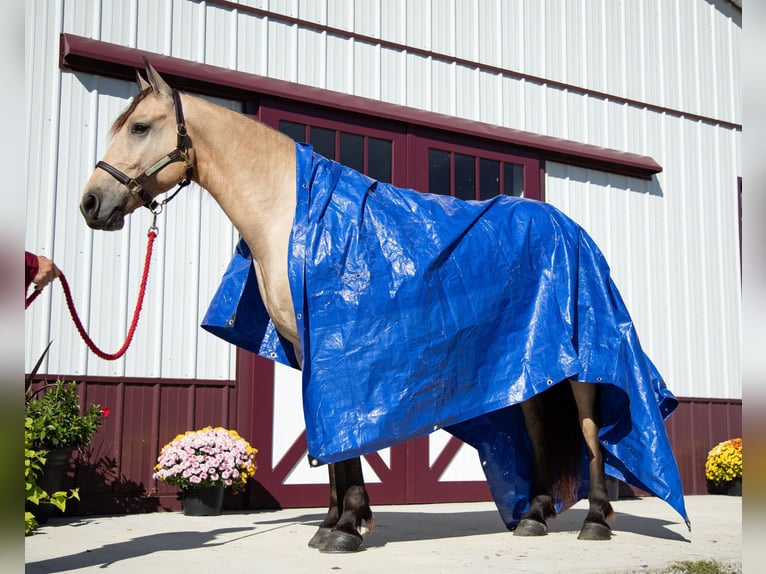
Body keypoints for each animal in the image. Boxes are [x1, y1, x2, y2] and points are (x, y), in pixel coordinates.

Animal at [80, 60, 687, 552]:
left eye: (139, 126)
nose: (91, 203)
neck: (291, 214)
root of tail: (573, 229)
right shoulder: (314, 352)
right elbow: (330, 437)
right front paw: (334, 522)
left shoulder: (332, 353)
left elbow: (338, 439)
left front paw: (346, 528)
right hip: (533, 358)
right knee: (538, 427)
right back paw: (535, 516)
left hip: (581, 362)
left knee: (589, 427)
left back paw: (597, 520)